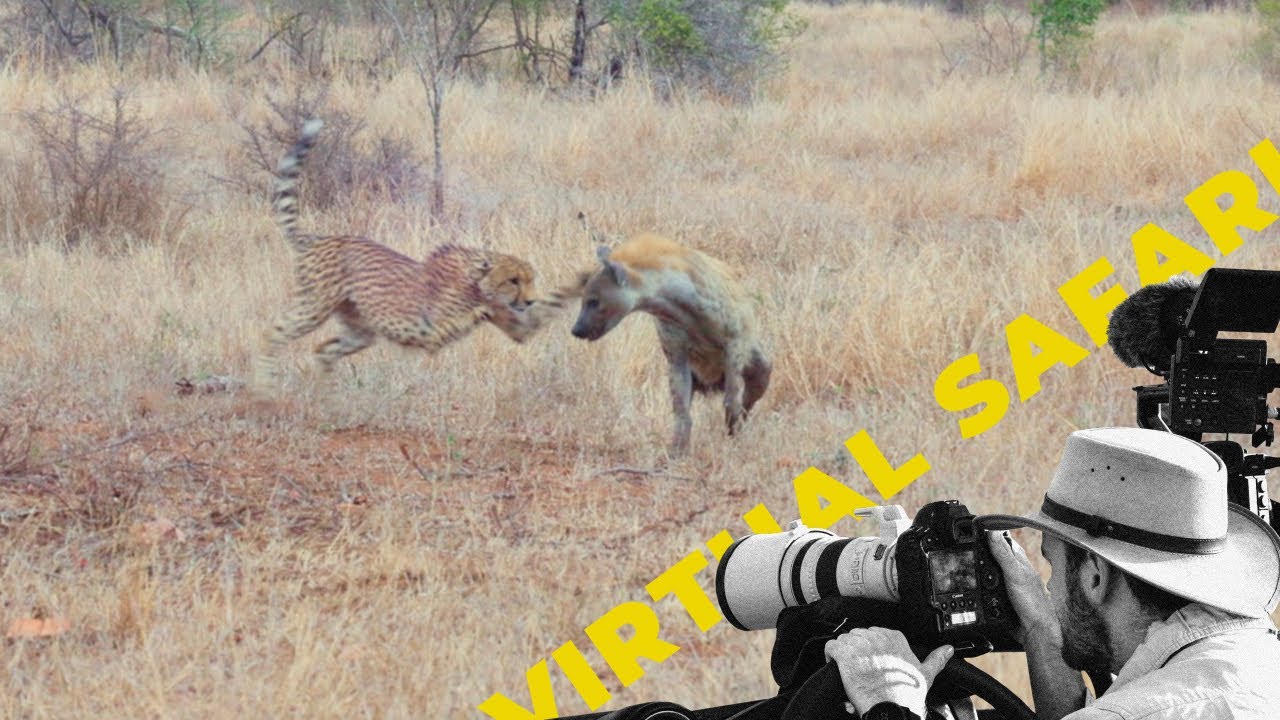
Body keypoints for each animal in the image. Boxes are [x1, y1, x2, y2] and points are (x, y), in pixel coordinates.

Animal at [252, 118, 572, 391]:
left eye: (530, 280)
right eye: (513, 280)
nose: (529, 301)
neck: (474, 280)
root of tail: (320, 237)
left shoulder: (515, 326)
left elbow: (543, 313)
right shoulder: (428, 332)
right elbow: (465, 318)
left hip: (360, 328)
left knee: (323, 349)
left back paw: (327, 396)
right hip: (314, 307)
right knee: (272, 333)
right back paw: (265, 389)